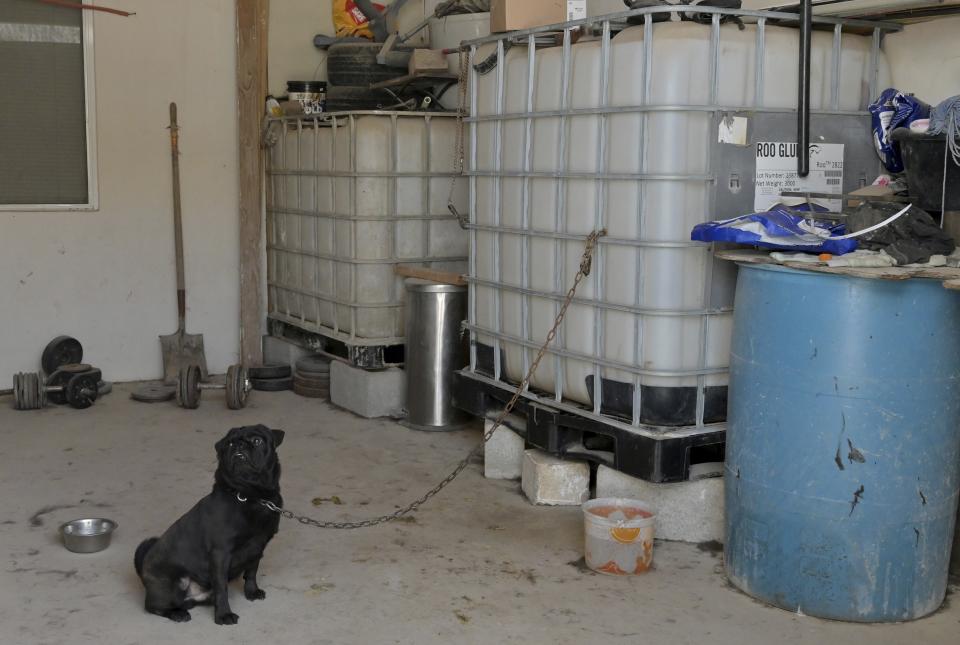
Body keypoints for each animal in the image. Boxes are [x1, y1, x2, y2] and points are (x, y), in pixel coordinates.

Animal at [135, 422, 284, 624]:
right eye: (229, 444)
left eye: (257, 440)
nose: (239, 445)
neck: (250, 496)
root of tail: (143, 572)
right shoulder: (221, 553)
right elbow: (222, 588)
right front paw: (223, 615)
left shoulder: (258, 546)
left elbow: (252, 571)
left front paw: (251, 592)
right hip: (173, 585)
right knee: (153, 606)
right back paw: (176, 613)